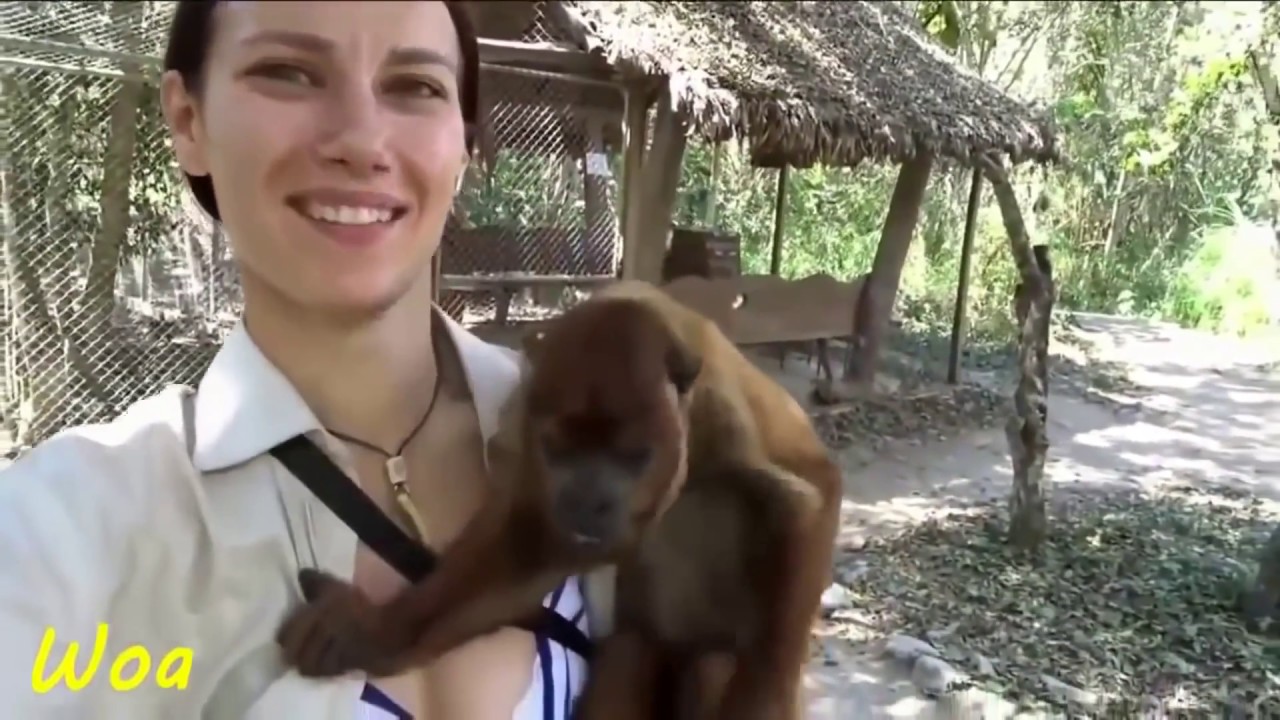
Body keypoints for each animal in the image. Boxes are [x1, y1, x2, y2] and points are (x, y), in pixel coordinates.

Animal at [275, 280, 844, 717]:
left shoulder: (726, 411)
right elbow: (530, 541)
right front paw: (371, 634)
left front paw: (763, 705)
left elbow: (808, 500)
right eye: (558, 449)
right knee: (627, 657)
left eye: (633, 456)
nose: (588, 502)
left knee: (715, 664)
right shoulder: (526, 425)